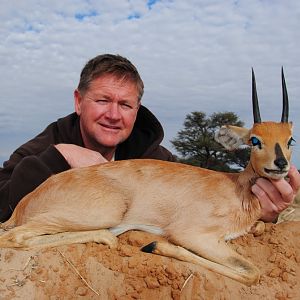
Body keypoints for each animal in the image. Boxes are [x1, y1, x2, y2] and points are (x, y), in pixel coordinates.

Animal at [0, 68, 294, 286]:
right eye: (255, 140)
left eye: (290, 139)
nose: (281, 164)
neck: (236, 188)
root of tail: (27, 201)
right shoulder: (192, 234)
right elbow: (252, 273)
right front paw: (155, 246)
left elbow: (258, 237)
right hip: (105, 212)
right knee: (15, 237)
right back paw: (108, 238)